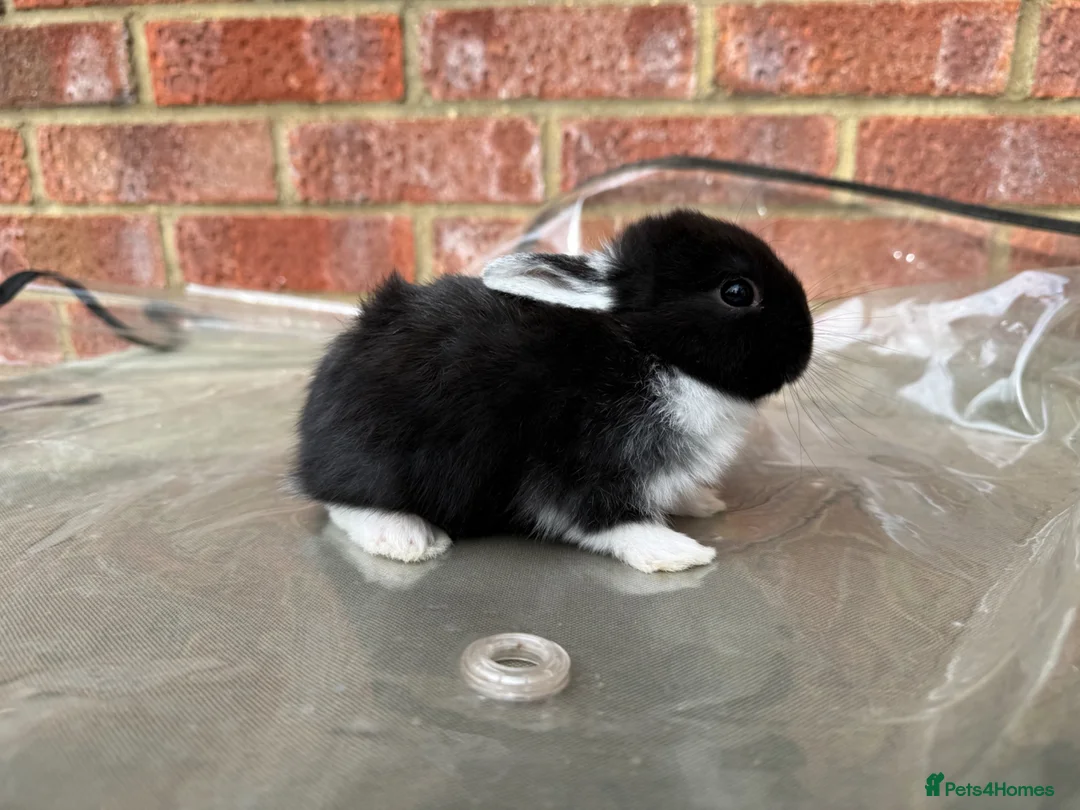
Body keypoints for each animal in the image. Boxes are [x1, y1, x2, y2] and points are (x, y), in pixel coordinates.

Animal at [294, 209, 813, 573]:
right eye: (737, 292)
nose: (806, 344)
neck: (652, 353)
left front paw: (700, 502)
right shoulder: (580, 465)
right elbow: (603, 520)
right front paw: (675, 552)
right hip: (383, 461)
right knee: (343, 503)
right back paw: (405, 538)